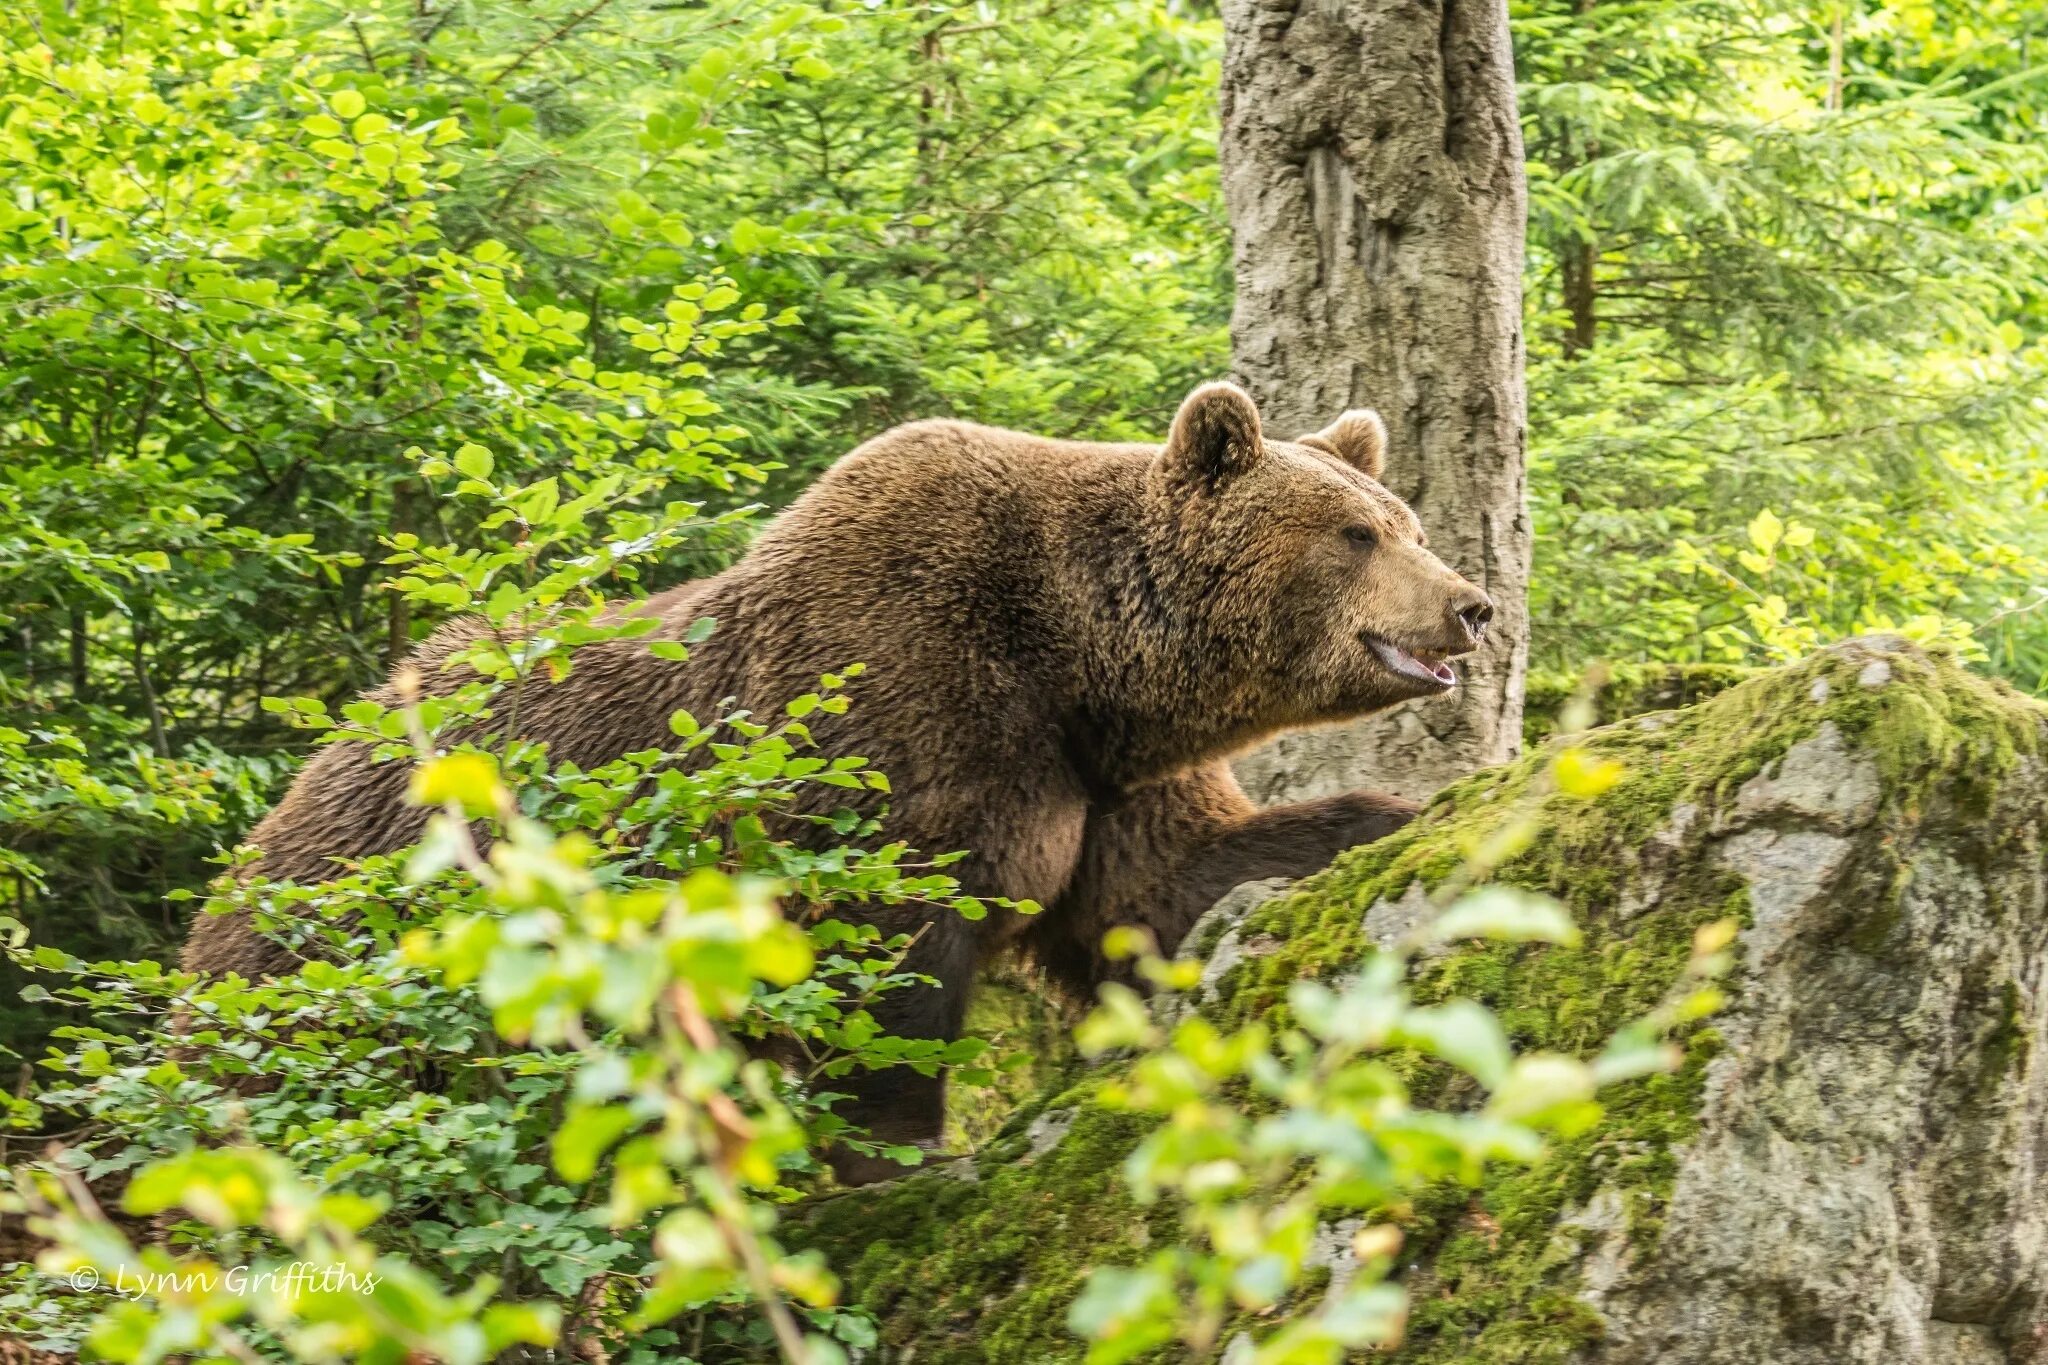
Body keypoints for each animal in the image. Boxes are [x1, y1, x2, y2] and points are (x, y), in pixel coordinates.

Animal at [180, 378, 1490, 1178]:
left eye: (1404, 519)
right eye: (1354, 535)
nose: (1470, 604)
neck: (1081, 662)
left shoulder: (1097, 782)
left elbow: (1167, 889)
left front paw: (1391, 822)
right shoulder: (895, 714)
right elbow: (882, 968)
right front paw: (897, 1157)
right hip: (357, 944)